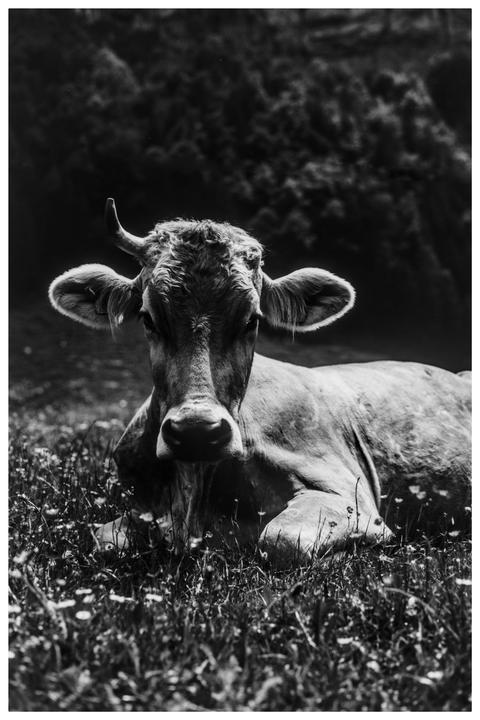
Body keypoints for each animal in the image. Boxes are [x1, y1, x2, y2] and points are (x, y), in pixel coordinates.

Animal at [49, 199, 471, 563]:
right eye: (148, 318)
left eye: (251, 320)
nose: (197, 431)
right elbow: (104, 540)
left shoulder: (349, 496)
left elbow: (281, 539)